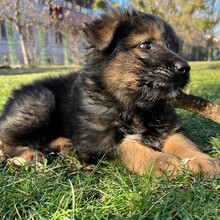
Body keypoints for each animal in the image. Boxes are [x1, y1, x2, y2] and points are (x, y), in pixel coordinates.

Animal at [0, 10, 220, 178]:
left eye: (175, 48)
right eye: (146, 45)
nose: (185, 68)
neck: (134, 106)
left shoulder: (168, 126)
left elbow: (183, 142)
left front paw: (204, 159)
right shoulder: (98, 141)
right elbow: (128, 147)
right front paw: (163, 162)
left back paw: (65, 144)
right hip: (41, 101)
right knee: (5, 137)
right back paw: (28, 154)